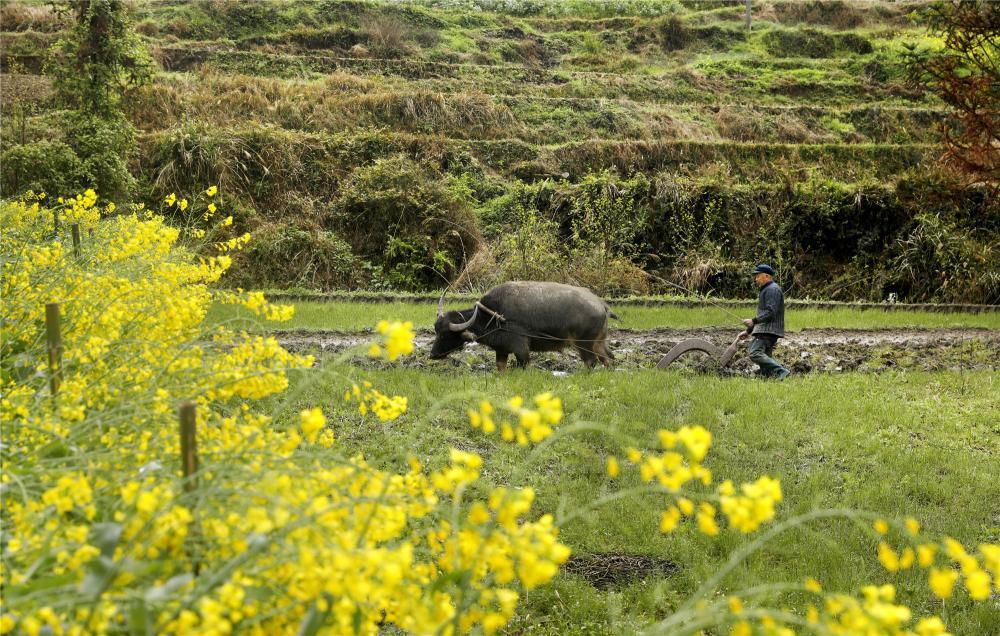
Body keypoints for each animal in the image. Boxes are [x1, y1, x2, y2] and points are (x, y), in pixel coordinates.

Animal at [430, 282, 616, 370]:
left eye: (445, 334)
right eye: (436, 330)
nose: (432, 355)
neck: (495, 316)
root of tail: (601, 304)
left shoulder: (521, 348)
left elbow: (524, 364)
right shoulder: (501, 350)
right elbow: (501, 366)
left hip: (584, 344)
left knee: (591, 361)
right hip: (599, 342)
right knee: (608, 358)